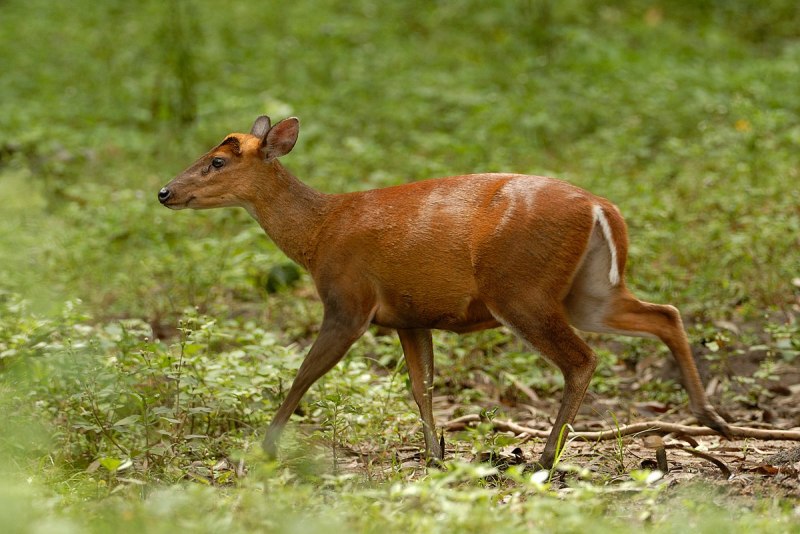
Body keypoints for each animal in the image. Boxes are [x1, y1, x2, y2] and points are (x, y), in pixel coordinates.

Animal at [159, 116, 736, 468]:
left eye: (217, 161)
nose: (164, 191)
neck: (318, 233)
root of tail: (601, 206)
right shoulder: (410, 316)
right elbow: (423, 385)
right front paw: (436, 455)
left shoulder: (348, 300)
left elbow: (305, 373)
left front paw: (262, 450)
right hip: (588, 290)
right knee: (664, 313)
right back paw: (713, 420)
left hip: (519, 289)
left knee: (582, 358)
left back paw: (546, 458)